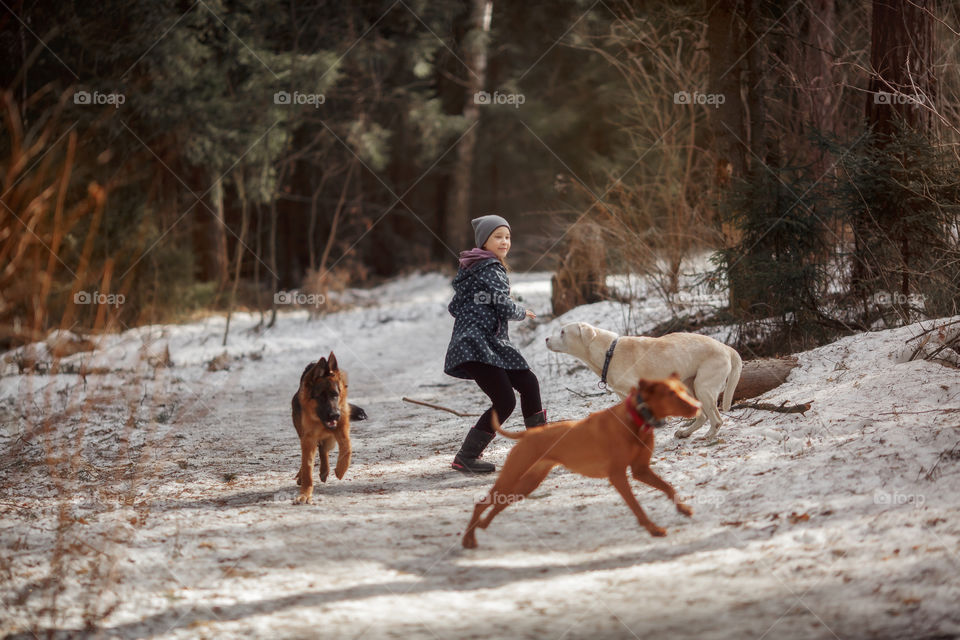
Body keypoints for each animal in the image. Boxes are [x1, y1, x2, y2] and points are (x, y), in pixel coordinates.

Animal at [290, 350, 366, 504]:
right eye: (321, 396)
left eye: (335, 395)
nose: (335, 415)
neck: (320, 421)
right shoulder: (308, 440)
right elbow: (307, 466)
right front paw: (305, 493)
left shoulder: (342, 429)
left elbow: (347, 448)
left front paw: (341, 469)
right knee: (317, 452)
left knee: (323, 450)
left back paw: (325, 470)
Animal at [462, 376, 700, 552]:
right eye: (671, 393)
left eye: (683, 389)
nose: (697, 405)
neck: (635, 418)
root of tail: (528, 434)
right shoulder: (618, 475)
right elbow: (637, 506)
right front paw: (653, 529)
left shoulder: (641, 470)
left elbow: (668, 487)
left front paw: (683, 509)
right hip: (511, 477)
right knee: (480, 504)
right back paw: (468, 539)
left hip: (526, 485)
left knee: (497, 505)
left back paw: (482, 526)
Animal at [548, 320, 744, 440]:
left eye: (563, 332)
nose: (546, 339)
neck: (608, 352)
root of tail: (726, 347)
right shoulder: (623, 395)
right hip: (690, 386)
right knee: (703, 416)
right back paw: (685, 432)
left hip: (702, 387)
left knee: (716, 419)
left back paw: (709, 435)